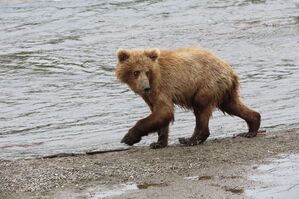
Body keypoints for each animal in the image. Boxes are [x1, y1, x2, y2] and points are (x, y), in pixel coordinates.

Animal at [116, 47, 262, 148]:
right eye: (135, 72)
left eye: (147, 71)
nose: (145, 87)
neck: (153, 79)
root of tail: (230, 70)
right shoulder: (151, 95)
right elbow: (159, 114)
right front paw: (158, 143)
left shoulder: (161, 87)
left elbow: (164, 111)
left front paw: (128, 137)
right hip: (224, 90)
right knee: (232, 105)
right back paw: (251, 128)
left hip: (206, 85)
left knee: (201, 109)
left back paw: (190, 140)